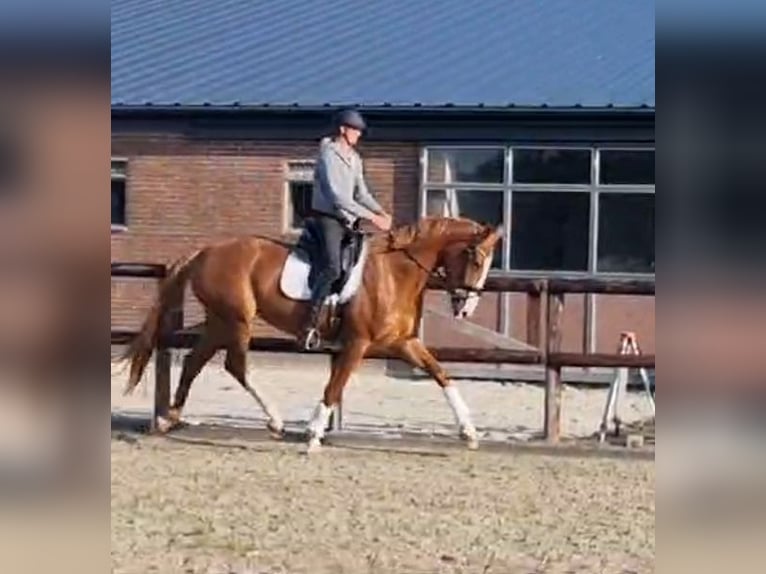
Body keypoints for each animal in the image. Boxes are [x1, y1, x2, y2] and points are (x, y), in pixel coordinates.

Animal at [120, 215, 504, 450]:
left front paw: (469, 431)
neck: (396, 272)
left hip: (219, 321)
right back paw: (274, 421)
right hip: (237, 321)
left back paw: (169, 418)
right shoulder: (358, 343)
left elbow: (441, 374)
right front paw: (315, 433)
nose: (466, 308)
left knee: (194, 363)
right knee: (236, 366)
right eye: (475, 257)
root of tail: (205, 251)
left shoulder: (403, 342)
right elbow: (335, 385)